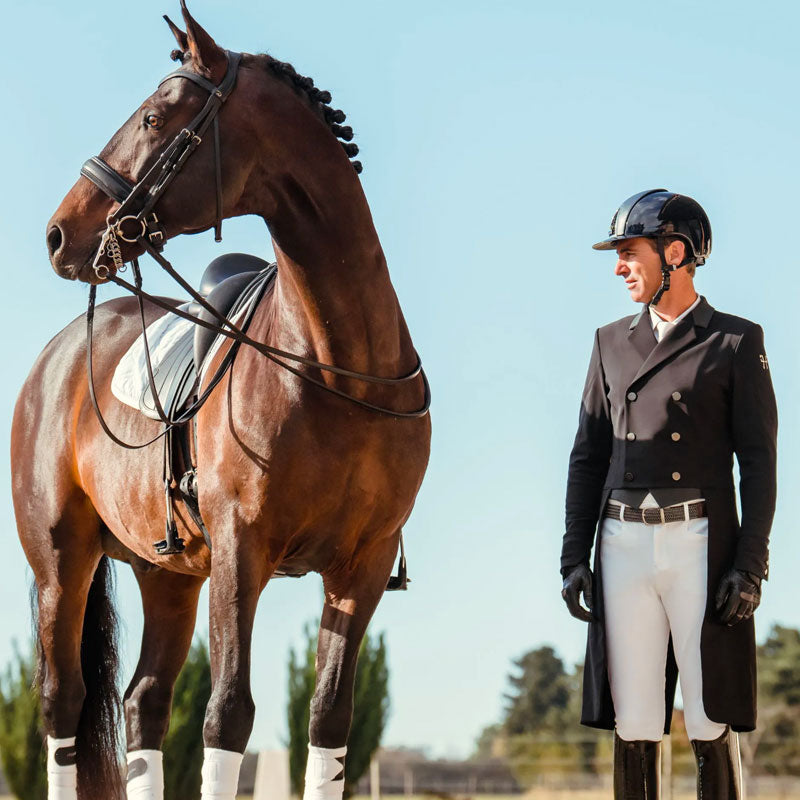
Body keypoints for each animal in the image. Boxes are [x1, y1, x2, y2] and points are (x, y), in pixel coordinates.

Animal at [12, 3, 431, 798]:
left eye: (153, 118)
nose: (57, 234)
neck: (339, 368)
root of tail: (56, 356)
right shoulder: (243, 551)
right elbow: (228, 713)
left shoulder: (359, 566)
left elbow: (329, 719)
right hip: (61, 561)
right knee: (63, 704)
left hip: (167, 576)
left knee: (143, 703)